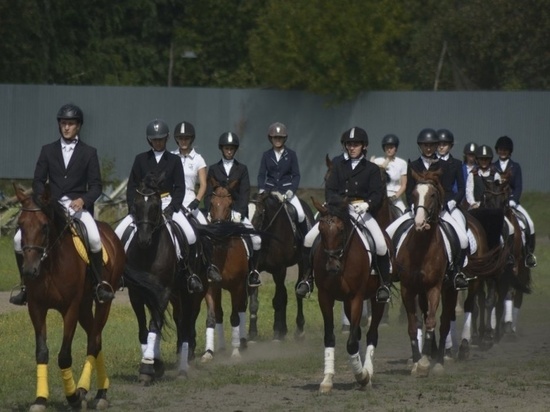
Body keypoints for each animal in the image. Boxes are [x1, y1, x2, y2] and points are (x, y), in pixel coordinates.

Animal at [13, 185, 126, 410]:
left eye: (44, 227)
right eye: (21, 224)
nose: (30, 271)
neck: (50, 263)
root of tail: (110, 233)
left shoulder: (70, 308)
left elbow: (64, 356)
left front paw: (72, 398)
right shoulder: (37, 307)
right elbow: (41, 352)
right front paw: (40, 399)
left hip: (102, 304)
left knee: (93, 342)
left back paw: (95, 393)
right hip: (84, 306)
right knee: (96, 338)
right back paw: (92, 390)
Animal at [312, 197, 386, 392]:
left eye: (340, 230)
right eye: (321, 230)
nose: (332, 267)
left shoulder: (356, 298)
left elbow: (352, 343)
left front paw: (362, 376)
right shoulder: (325, 297)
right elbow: (330, 337)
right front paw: (327, 379)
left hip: (377, 300)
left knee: (371, 335)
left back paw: (367, 372)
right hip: (345, 302)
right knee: (358, 332)